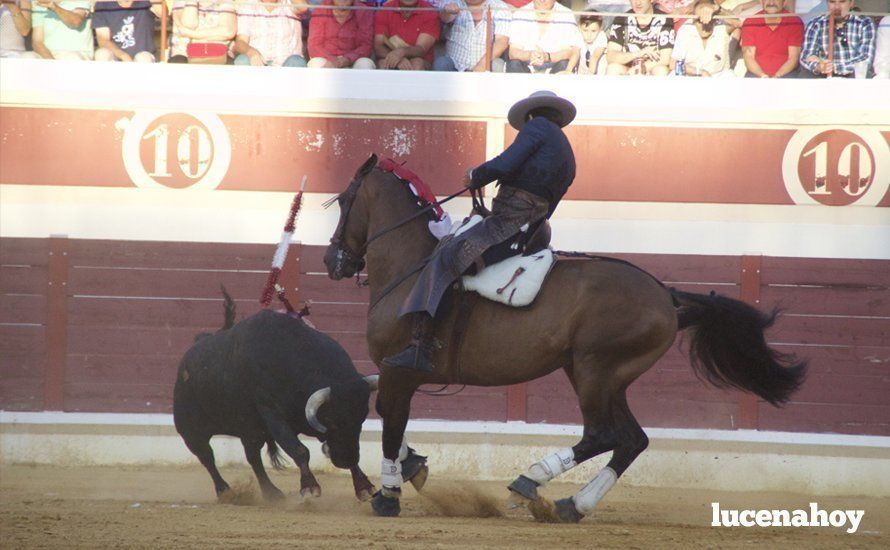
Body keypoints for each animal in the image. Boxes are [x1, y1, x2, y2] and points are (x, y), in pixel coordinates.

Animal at [173, 294, 378, 504]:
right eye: (331, 421)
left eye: (362, 418)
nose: (347, 459)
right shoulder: (272, 414)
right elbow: (299, 449)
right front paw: (309, 487)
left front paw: (364, 487)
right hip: (191, 431)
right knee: (207, 457)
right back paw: (226, 491)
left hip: (250, 430)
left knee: (253, 457)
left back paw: (271, 493)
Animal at [320, 154, 804, 520]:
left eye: (344, 200)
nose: (331, 260)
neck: (411, 266)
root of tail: (666, 296)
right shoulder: (396, 374)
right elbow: (388, 416)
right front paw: (411, 468)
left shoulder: (400, 370)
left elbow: (389, 422)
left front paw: (387, 495)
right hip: (606, 377)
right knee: (631, 440)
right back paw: (574, 504)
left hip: (593, 369)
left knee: (602, 434)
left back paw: (529, 482)